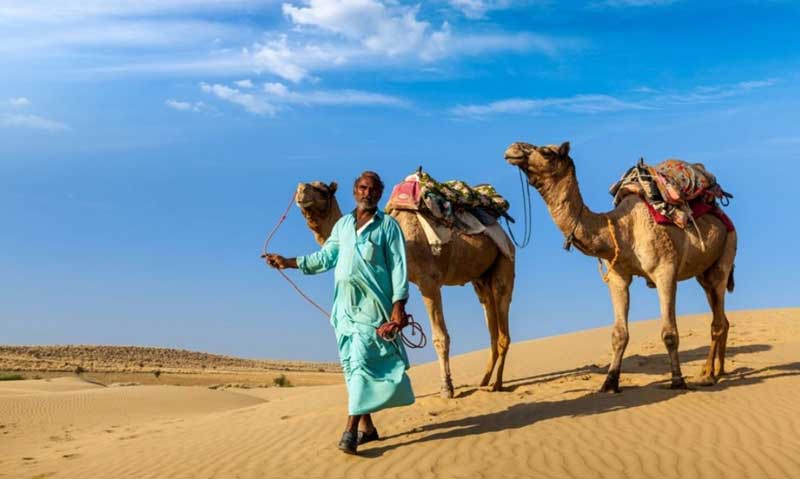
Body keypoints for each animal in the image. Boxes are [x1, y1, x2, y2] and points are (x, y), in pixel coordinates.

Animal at [296, 180, 516, 398]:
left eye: (322, 190)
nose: (300, 190)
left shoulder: (429, 281)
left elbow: (440, 337)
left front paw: (447, 387)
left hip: (505, 261)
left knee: (503, 316)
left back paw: (497, 384)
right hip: (480, 278)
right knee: (490, 320)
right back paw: (484, 381)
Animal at [506, 141, 736, 392]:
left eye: (546, 152)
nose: (513, 149)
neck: (621, 227)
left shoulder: (665, 271)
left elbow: (669, 333)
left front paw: (677, 380)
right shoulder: (618, 276)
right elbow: (618, 334)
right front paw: (609, 382)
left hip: (725, 254)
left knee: (717, 320)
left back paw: (708, 376)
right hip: (703, 274)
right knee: (721, 317)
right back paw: (716, 371)